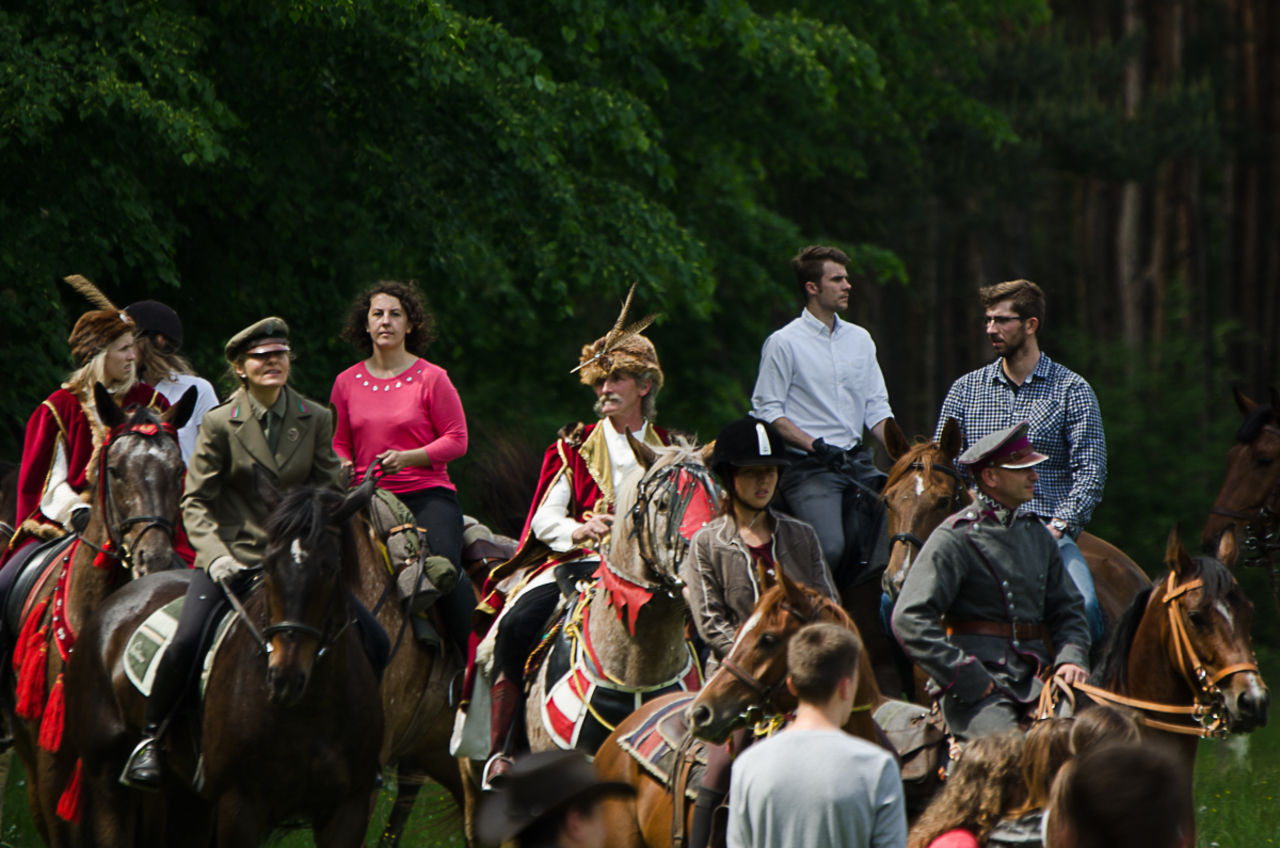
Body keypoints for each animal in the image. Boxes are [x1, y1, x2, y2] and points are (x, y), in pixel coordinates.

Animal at [66, 473, 384, 845]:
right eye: (269, 563)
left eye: (332, 568)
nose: (285, 677)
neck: (312, 710)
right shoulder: (241, 805)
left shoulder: (349, 809)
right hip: (108, 780)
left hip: (187, 796)